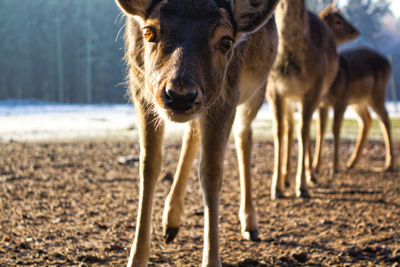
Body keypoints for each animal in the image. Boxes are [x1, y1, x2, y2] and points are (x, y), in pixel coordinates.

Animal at [114, 1, 280, 266]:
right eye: (149, 32)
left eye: (226, 41)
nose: (180, 95)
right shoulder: (140, 87)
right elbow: (148, 165)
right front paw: (136, 258)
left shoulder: (226, 95)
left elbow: (211, 173)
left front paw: (211, 259)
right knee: (193, 132)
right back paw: (171, 221)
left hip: (257, 90)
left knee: (243, 135)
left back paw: (250, 222)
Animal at [268, 0, 340, 199]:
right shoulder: (274, 89)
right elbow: (278, 131)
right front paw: (276, 188)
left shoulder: (313, 88)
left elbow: (304, 132)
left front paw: (302, 187)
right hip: (290, 98)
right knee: (290, 127)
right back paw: (286, 178)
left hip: (318, 94)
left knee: (312, 129)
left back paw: (311, 175)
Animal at [310, 5, 392, 176]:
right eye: (338, 21)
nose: (355, 31)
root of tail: (388, 63)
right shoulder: (322, 103)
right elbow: (320, 131)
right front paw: (316, 166)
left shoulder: (341, 100)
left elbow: (335, 130)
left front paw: (334, 167)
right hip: (358, 102)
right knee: (367, 119)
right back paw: (351, 163)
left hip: (377, 93)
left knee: (384, 118)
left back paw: (389, 164)